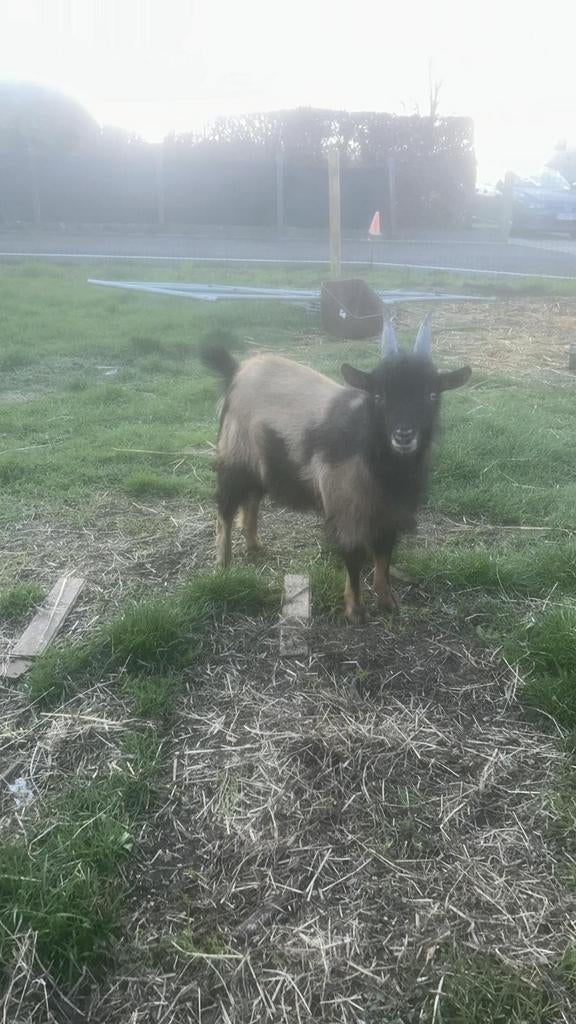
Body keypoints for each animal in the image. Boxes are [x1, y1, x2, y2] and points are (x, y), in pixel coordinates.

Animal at [201, 316, 471, 622]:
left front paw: (388, 601)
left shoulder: (388, 513)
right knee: (225, 509)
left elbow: (384, 555)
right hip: (234, 456)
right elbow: (353, 559)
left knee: (253, 499)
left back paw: (254, 544)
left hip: (261, 462)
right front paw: (356, 610)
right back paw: (224, 564)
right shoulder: (346, 510)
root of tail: (235, 371)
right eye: (378, 395)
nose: (403, 435)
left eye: (432, 394)